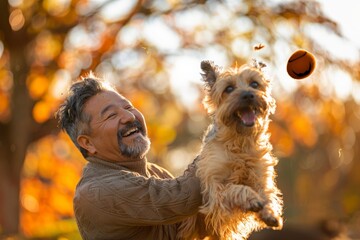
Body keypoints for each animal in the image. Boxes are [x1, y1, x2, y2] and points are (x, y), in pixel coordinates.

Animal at [179, 61, 282, 239]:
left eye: (255, 84)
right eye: (228, 88)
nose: (248, 95)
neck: (240, 143)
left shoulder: (260, 175)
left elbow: (267, 194)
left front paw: (270, 213)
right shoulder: (216, 190)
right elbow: (236, 188)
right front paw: (252, 199)